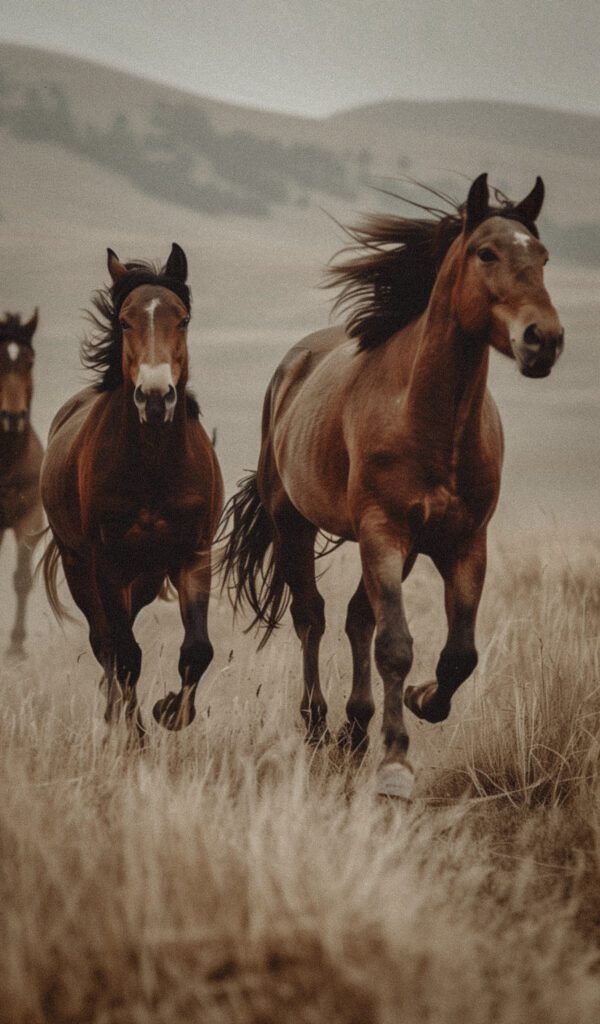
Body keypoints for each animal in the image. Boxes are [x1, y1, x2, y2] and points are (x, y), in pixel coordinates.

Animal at [39, 245, 223, 745]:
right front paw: (136, 737)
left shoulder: (193, 556)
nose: (155, 397)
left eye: (182, 319)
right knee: (105, 644)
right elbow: (125, 655)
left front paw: (171, 712)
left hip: (144, 580)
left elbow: (197, 649)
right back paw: (114, 722)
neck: (154, 468)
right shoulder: (107, 565)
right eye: (124, 321)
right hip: (82, 570)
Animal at [219, 176, 561, 798]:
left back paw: (355, 727)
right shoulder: (384, 530)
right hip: (294, 524)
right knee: (312, 617)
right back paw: (318, 724)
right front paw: (396, 765)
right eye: (486, 253)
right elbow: (396, 645)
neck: (430, 422)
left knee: (357, 618)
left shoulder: (462, 543)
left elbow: (459, 654)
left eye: (543, 257)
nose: (543, 340)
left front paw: (423, 700)